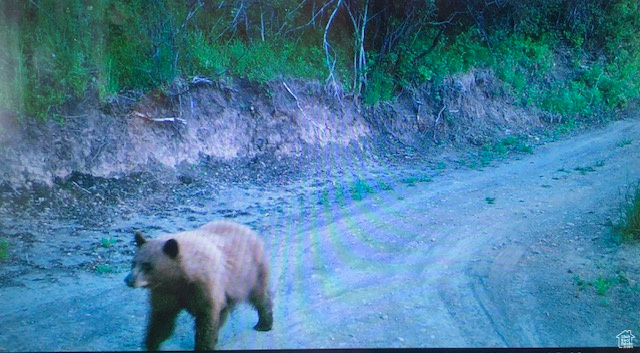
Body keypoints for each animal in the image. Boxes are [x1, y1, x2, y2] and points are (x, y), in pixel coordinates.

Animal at [124, 220, 272, 350]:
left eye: (147, 266)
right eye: (133, 262)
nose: (128, 280)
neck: (181, 277)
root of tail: (248, 230)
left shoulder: (206, 286)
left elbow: (206, 319)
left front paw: (203, 345)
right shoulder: (166, 291)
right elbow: (162, 318)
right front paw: (151, 343)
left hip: (252, 273)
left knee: (260, 297)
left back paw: (264, 324)